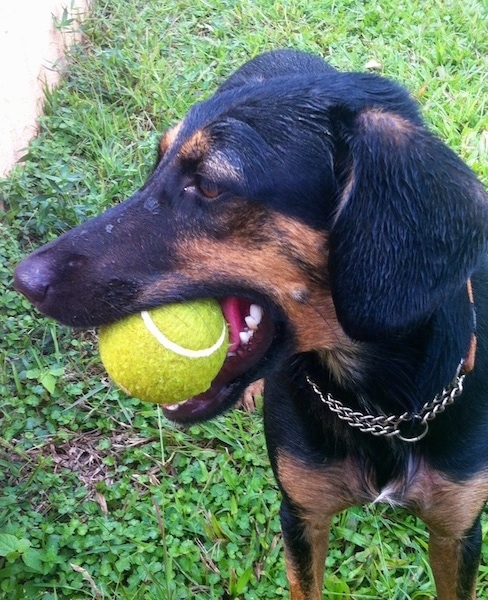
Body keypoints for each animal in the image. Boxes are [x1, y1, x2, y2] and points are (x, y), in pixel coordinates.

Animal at [13, 49, 488, 596]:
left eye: (210, 185)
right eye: (155, 165)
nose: (22, 279)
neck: (378, 403)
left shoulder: (458, 531)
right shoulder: (301, 514)